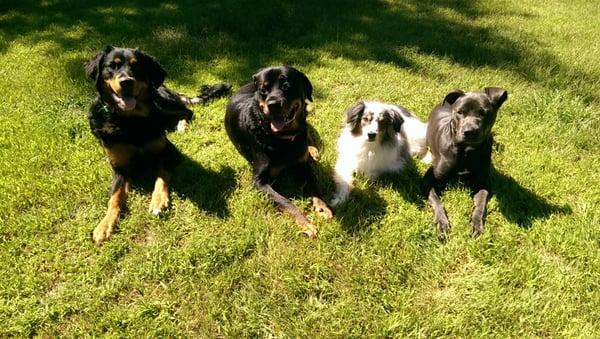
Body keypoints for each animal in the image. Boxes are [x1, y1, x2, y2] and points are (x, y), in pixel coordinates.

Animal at [85, 46, 231, 246]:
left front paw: (158, 201)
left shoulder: (168, 151)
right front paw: (105, 224)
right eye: (112, 66)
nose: (126, 82)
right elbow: (114, 197)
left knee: (187, 111)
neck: (131, 122)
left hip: (162, 105)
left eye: (136, 66)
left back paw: (181, 125)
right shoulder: (120, 167)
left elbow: (161, 174)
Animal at [224, 65, 330, 238]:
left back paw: (312, 150)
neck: (281, 139)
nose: (273, 104)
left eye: (286, 86)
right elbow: (285, 201)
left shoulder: (302, 166)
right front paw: (306, 223)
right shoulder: (259, 181)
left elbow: (314, 185)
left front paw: (322, 207)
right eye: (263, 90)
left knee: (306, 130)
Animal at [424, 87, 508, 242]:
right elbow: (437, 202)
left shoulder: (483, 183)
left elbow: (481, 204)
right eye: (460, 112)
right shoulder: (429, 180)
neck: (466, 151)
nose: (470, 131)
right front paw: (442, 224)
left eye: (484, 112)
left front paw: (476, 223)